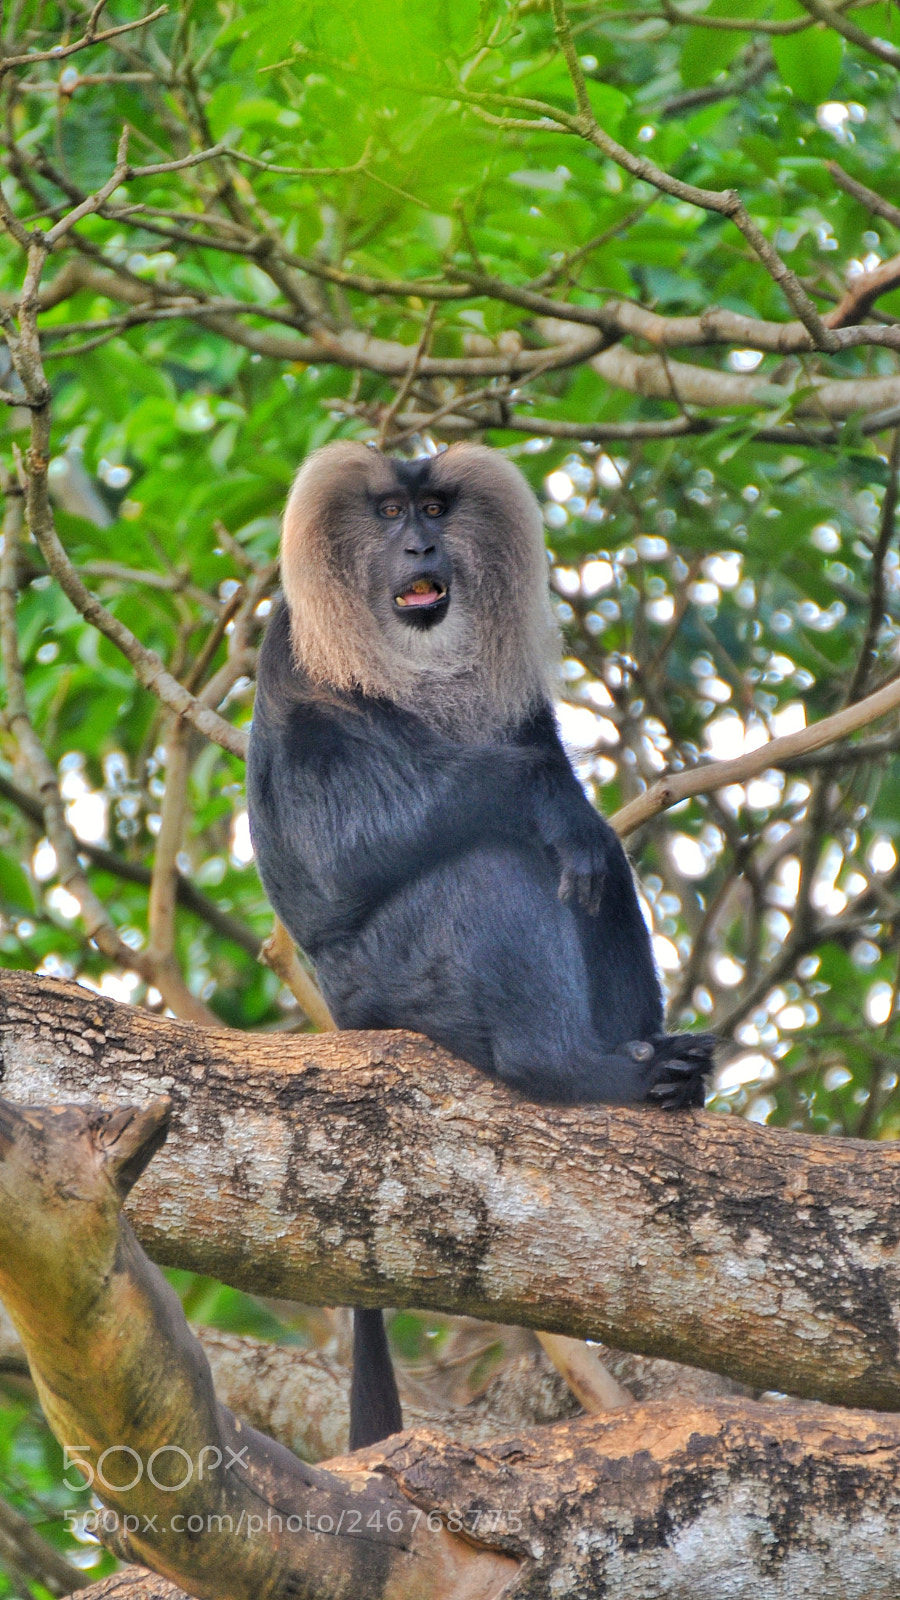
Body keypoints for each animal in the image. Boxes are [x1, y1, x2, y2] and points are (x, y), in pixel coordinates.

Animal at [247, 439, 714, 1451]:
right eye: (388, 513)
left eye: (436, 509)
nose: (421, 545)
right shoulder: (295, 666)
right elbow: (341, 851)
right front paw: (551, 801)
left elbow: (587, 848)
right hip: (405, 985)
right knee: (496, 864)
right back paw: (581, 1072)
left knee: (597, 881)